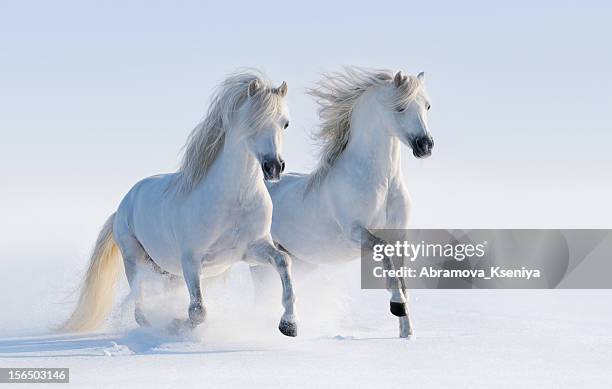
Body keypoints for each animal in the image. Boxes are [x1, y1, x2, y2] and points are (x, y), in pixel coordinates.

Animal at [62, 70, 298, 336]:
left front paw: (289, 325)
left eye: (285, 123)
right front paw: (176, 325)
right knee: (139, 305)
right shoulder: (191, 260)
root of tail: (123, 205)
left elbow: (284, 261)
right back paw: (153, 325)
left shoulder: (251, 250)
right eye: (252, 122)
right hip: (134, 259)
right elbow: (198, 311)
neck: (234, 200)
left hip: (168, 272)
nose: (274, 167)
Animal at [266, 66, 432, 336]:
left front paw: (407, 334)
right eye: (400, 107)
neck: (382, 183)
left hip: (300, 261)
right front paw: (396, 305)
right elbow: (385, 255)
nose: (425, 145)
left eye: (427, 106)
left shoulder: (399, 236)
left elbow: (402, 278)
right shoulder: (356, 233)